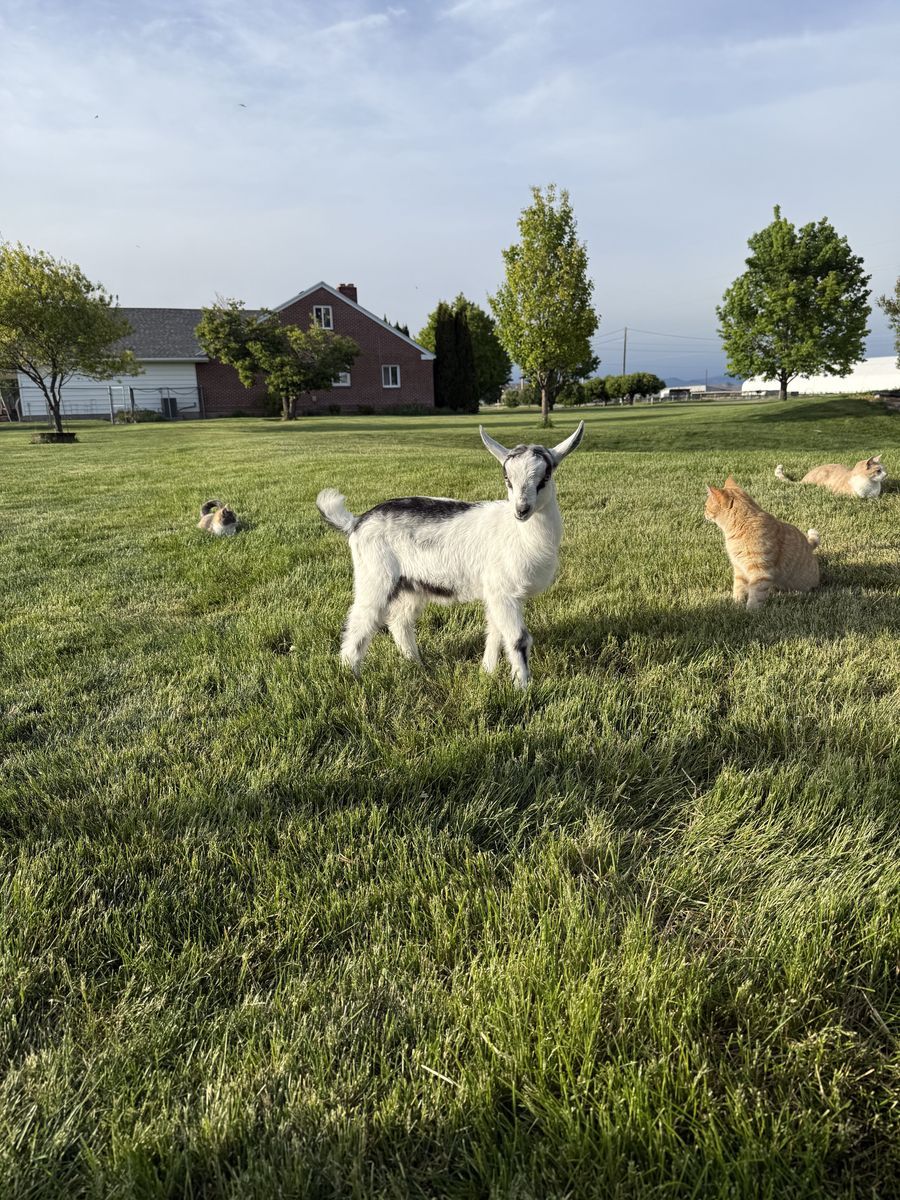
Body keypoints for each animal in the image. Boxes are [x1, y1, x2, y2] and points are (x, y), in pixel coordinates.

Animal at [316, 421, 585, 687]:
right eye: (507, 477)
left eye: (546, 476)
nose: (521, 510)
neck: (517, 532)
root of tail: (355, 522)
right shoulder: (504, 592)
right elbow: (518, 639)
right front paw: (523, 688)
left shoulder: (497, 593)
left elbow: (495, 632)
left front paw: (486, 673)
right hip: (374, 575)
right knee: (362, 617)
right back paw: (350, 673)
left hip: (412, 584)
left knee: (399, 620)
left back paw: (417, 664)